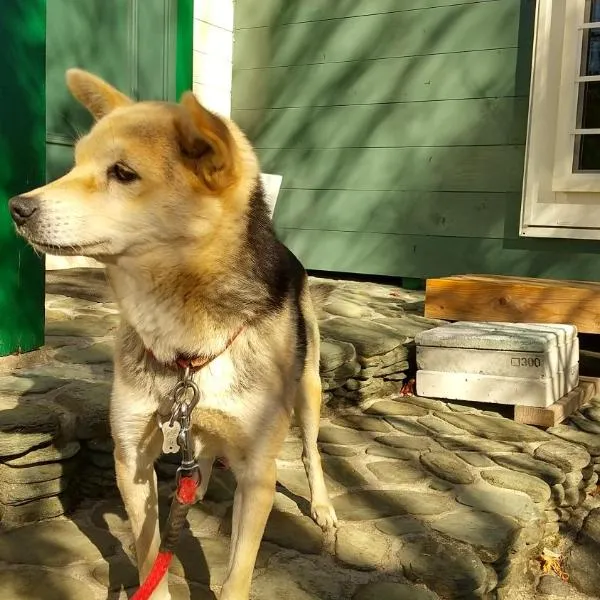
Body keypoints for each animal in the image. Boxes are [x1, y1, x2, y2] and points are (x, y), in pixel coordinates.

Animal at [9, 69, 338, 600]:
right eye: (75, 163)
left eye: (123, 173)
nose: (16, 207)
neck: (186, 333)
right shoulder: (131, 457)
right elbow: (148, 551)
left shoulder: (257, 475)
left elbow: (238, 573)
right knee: (199, 453)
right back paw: (196, 485)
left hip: (308, 393)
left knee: (311, 453)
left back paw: (322, 507)